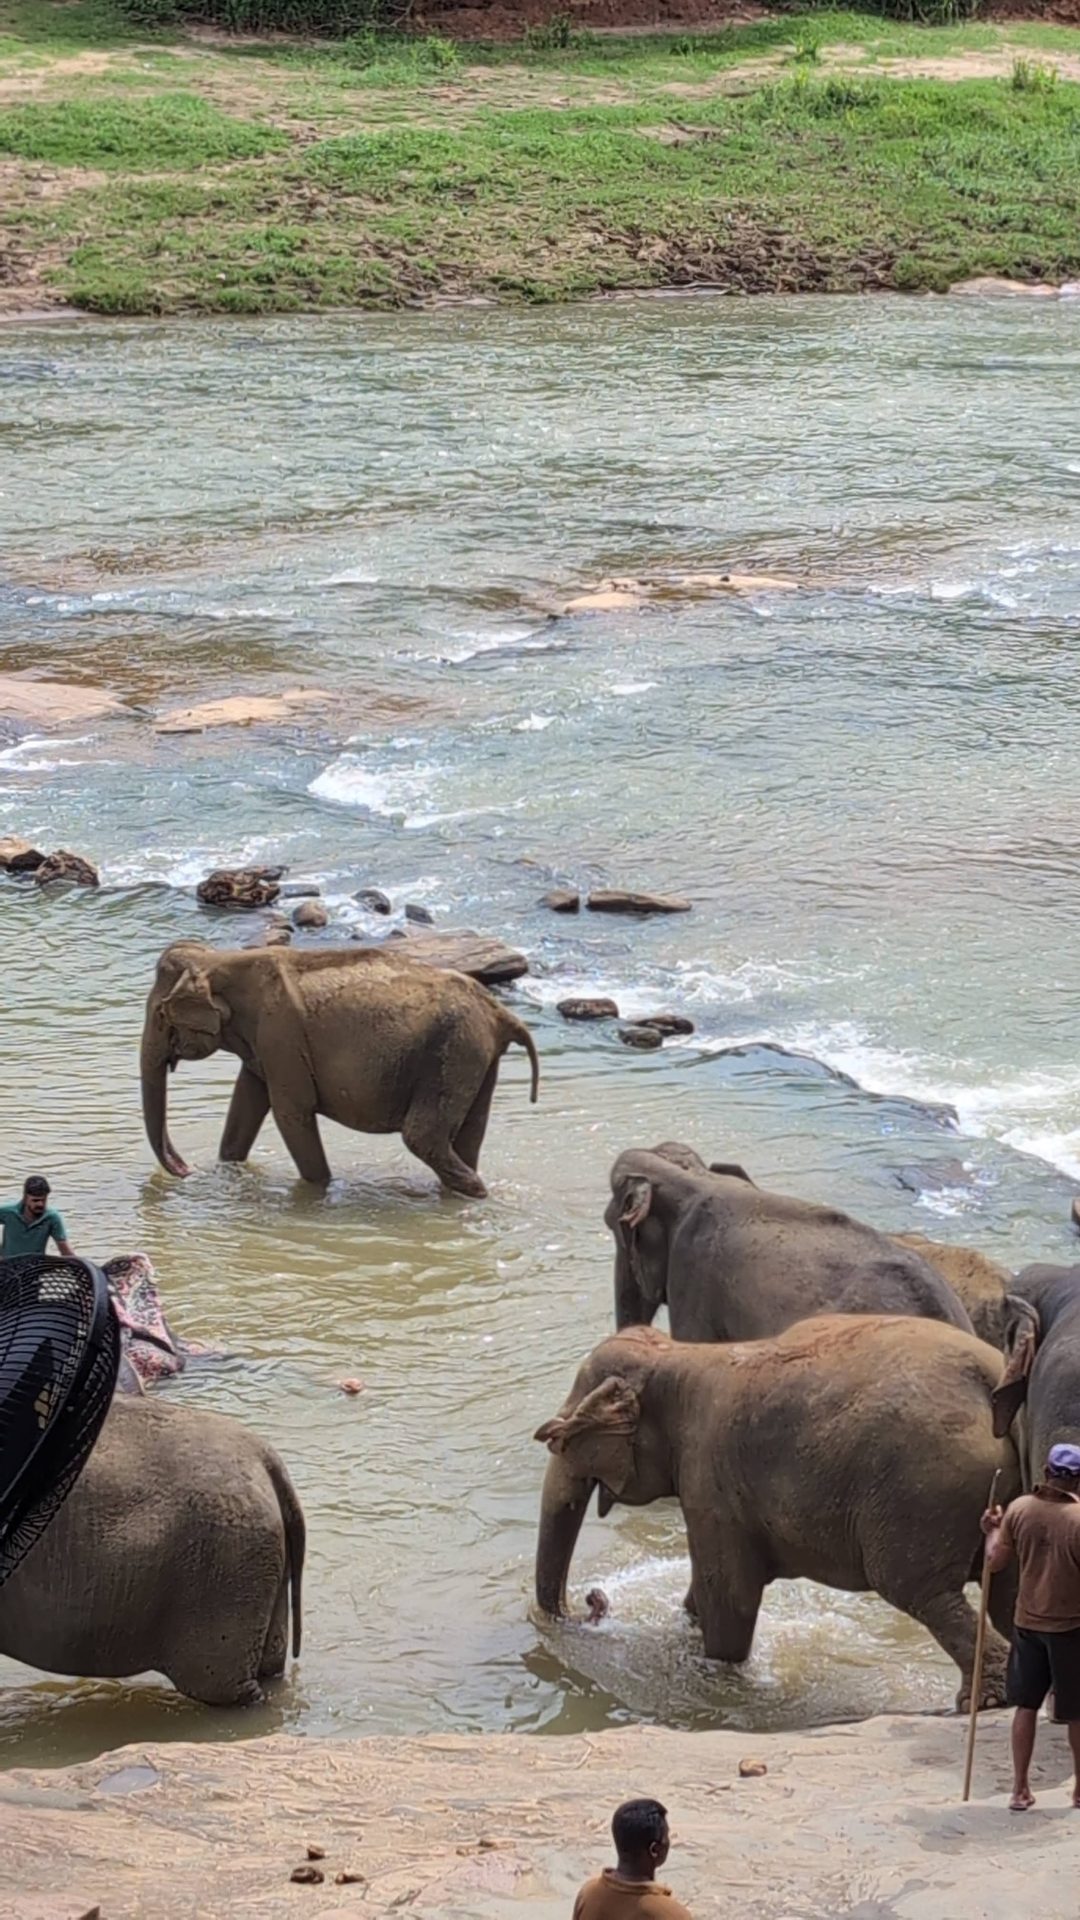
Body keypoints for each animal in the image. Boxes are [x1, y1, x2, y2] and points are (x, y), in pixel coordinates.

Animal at [140, 940, 540, 1196]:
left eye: (160, 1014)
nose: (185, 1170)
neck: (220, 960)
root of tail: (500, 1013)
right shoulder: (263, 1048)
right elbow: (245, 1107)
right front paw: (228, 1170)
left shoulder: (280, 1036)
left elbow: (291, 1113)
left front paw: (318, 1189)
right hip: (476, 1057)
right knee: (470, 1132)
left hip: (454, 1051)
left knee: (422, 1136)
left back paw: (478, 1194)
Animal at [534, 1317, 1019, 1705]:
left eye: (558, 1440)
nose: (594, 1599)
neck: (675, 1354)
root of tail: (993, 1374)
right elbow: (705, 1591)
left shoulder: (709, 1479)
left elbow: (728, 1598)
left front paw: (720, 1678)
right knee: (1007, 1593)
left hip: (923, 1493)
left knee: (917, 1590)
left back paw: (982, 1701)